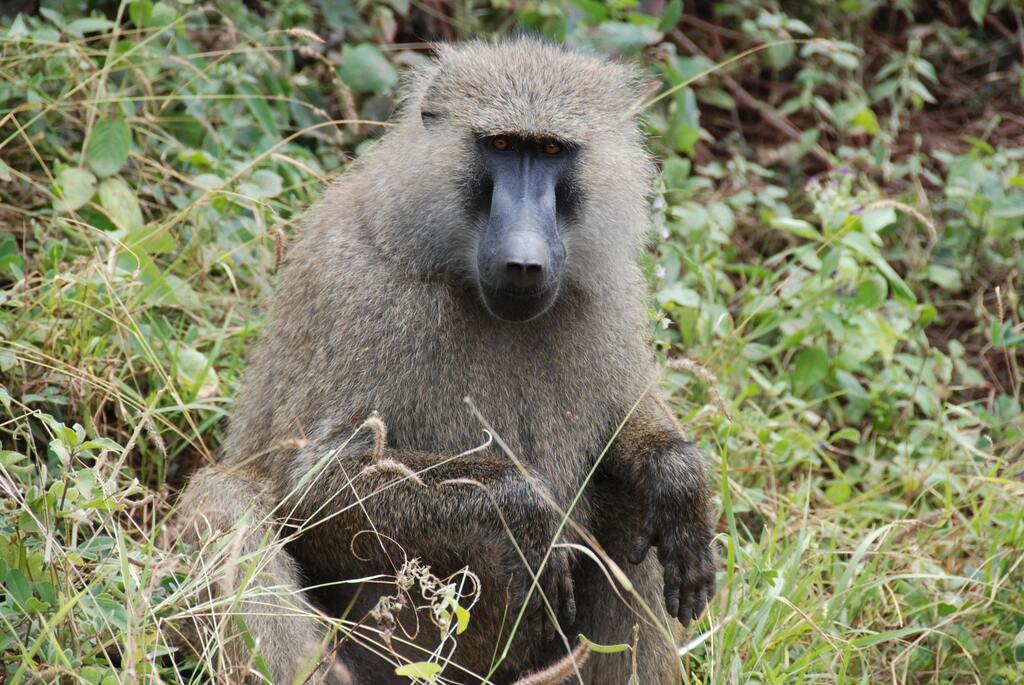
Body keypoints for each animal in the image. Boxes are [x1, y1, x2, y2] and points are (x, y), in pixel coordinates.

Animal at [177, 37, 716, 684]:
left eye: (552, 150)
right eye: (501, 146)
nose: (524, 261)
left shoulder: (611, 300)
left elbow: (631, 441)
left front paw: (677, 476)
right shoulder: (363, 294)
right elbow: (312, 485)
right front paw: (527, 508)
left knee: (636, 511)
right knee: (225, 502)